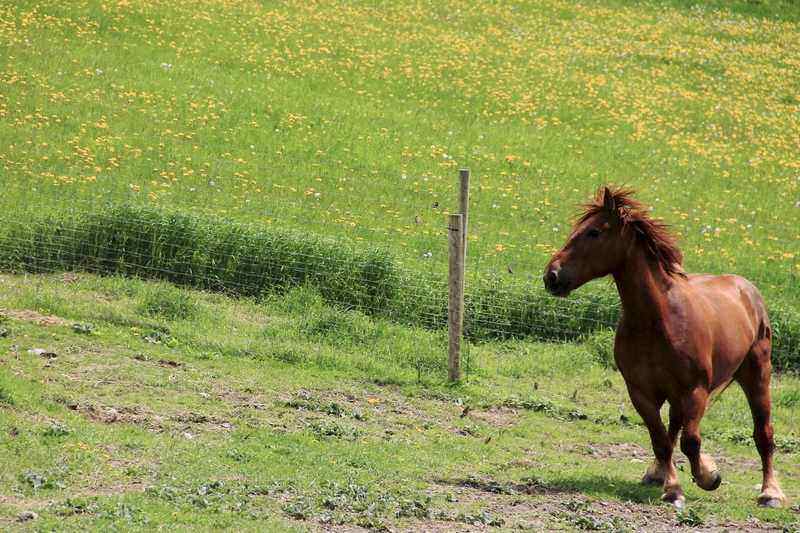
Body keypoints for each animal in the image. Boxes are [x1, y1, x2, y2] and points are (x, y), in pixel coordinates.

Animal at [544, 186, 788, 508]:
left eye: (593, 232)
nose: (551, 276)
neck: (658, 320)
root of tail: (747, 289)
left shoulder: (695, 390)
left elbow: (691, 440)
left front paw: (709, 476)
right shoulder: (641, 392)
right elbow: (661, 439)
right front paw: (672, 487)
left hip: (757, 375)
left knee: (763, 433)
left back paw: (770, 493)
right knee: (673, 428)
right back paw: (658, 474)